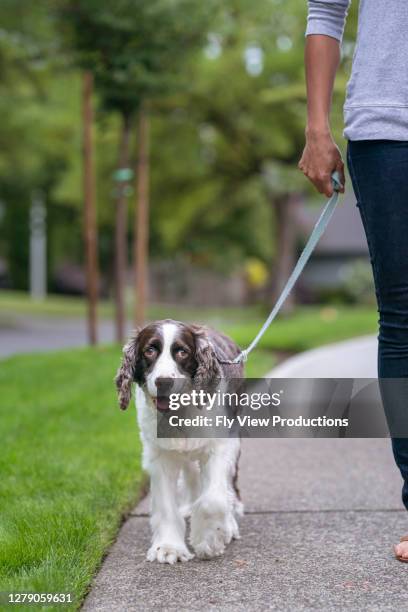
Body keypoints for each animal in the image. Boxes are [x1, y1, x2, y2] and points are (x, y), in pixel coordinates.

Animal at [115, 320, 244, 564]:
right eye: (150, 350)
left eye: (182, 352)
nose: (164, 382)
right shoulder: (160, 455)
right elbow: (166, 505)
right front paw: (169, 548)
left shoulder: (220, 445)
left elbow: (213, 499)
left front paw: (209, 540)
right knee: (192, 475)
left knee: (228, 487)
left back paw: (230, 524)